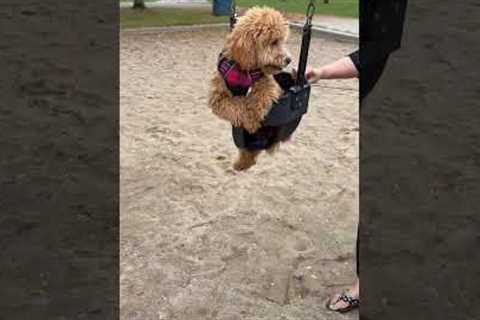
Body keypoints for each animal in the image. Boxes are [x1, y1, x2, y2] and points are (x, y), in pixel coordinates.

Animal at [207, 6, 290, 171]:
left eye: (282, 41)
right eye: (274, 42)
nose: (288, 60)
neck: (244, 70)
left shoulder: (268, 84)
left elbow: (261, 96)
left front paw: (253, 114)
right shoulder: (218, 99)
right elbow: (236, 104)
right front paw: (250, 119)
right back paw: (241, 164)